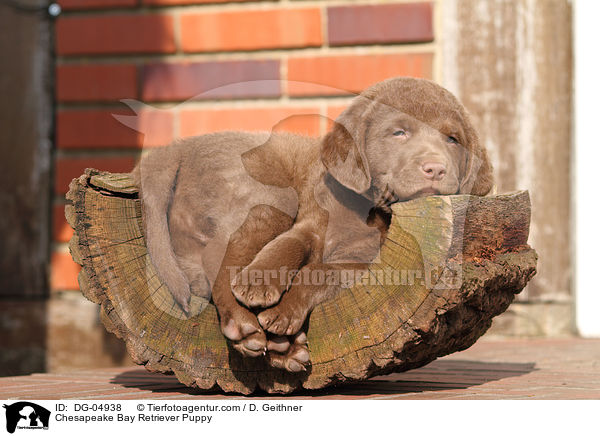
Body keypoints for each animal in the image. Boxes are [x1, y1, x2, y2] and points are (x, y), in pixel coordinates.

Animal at [134, 77, 494, 372]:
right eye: (399, 132)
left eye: (452, 139)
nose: (435, 169)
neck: (366, 206)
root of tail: (177, 147)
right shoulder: (311, 221)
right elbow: (289, 244)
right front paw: (257, 282)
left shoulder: (363, 261)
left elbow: (320, 271)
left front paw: (283, 315)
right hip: (269, 196)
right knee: (220, 256)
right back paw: (244, 323)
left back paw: (281, 348)